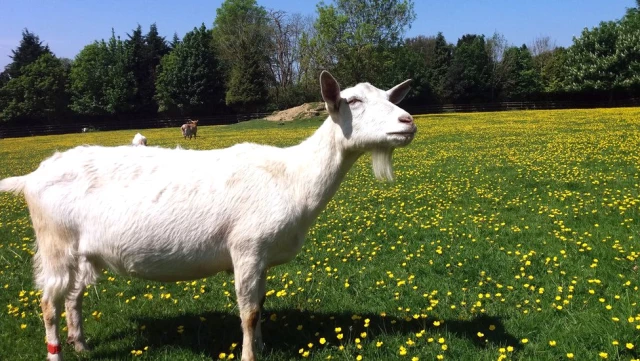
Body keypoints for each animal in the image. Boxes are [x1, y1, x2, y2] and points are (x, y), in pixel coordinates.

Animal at [0, 71, 416, 360]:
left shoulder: (261, 257)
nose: (408, 122)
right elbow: (248, 311)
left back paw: (82, 345)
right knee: (48, 303)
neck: (292, 176)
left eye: (388, 97)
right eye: (353, 100)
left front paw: (262, 347)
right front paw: (249, 355)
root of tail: (32, 177)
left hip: (82, 251)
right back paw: (57, 351)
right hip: (54, 243)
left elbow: (261, 304)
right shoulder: (246, 248)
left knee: (74, 297)